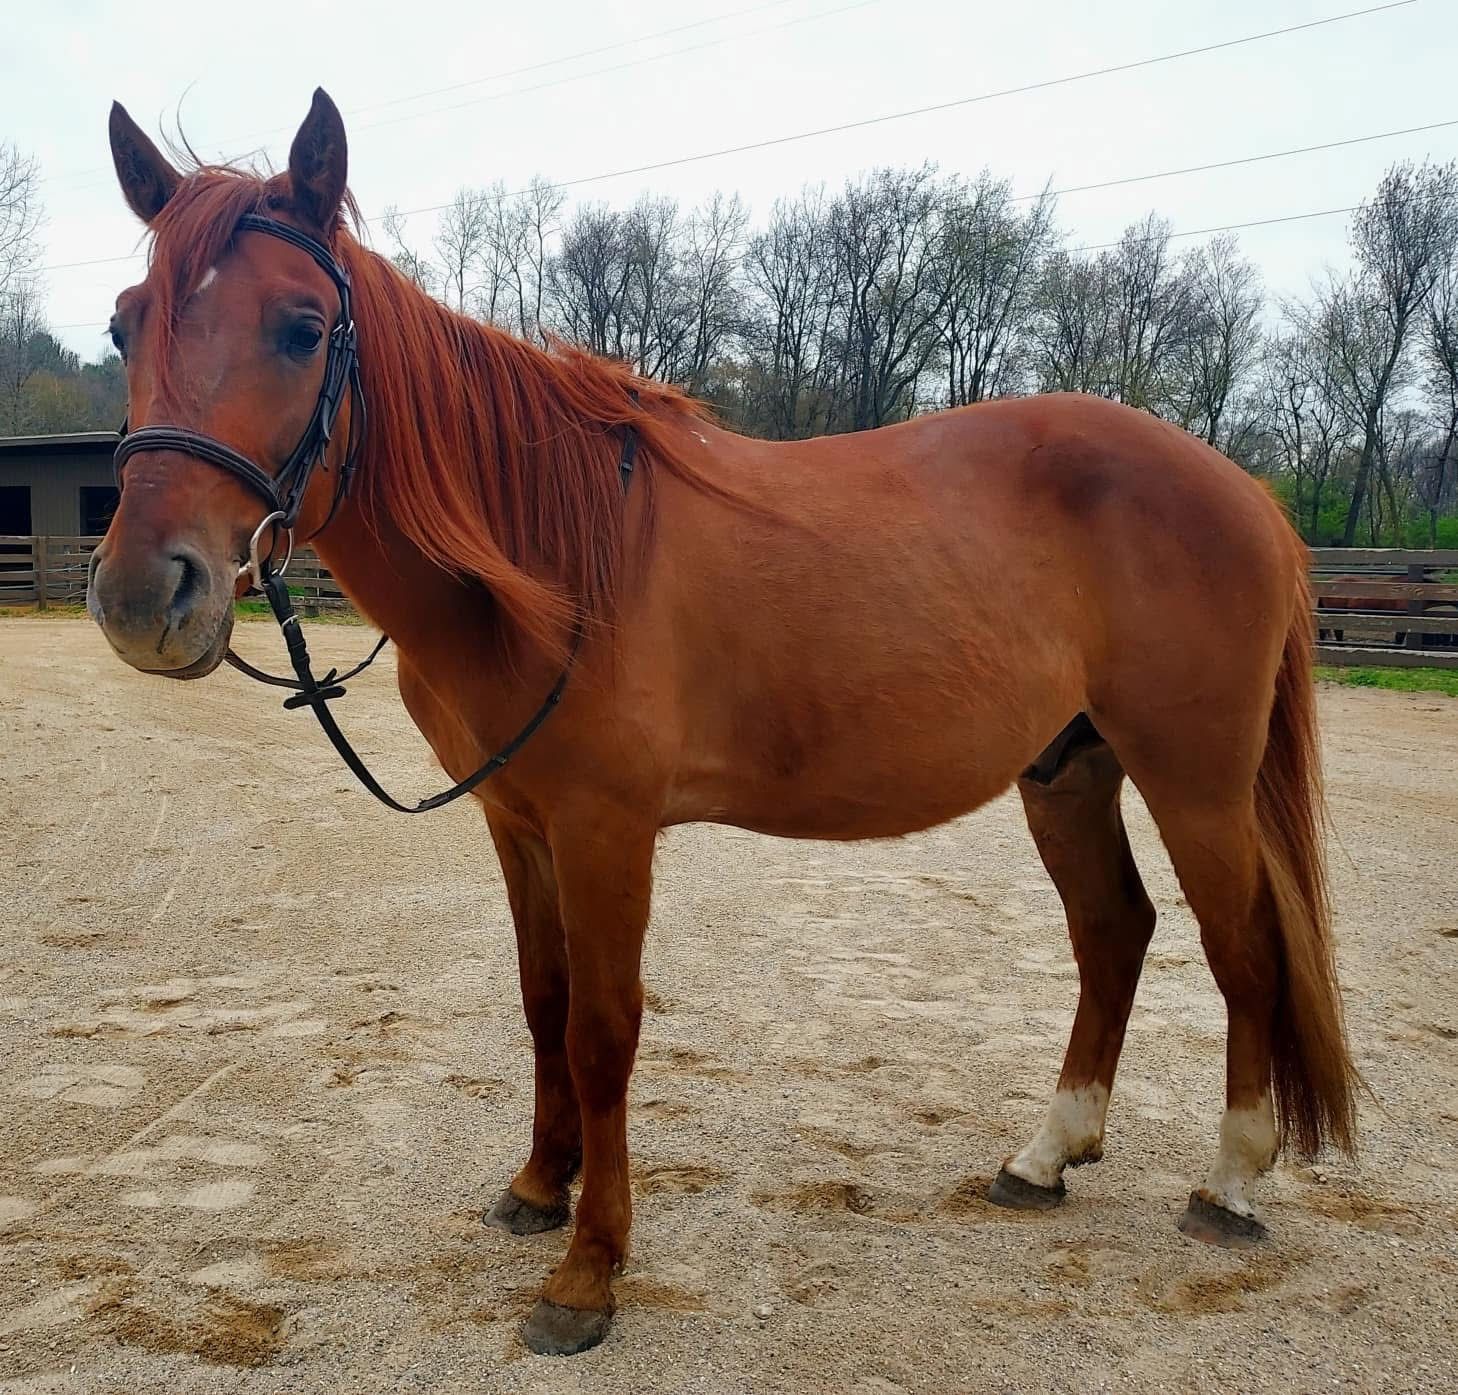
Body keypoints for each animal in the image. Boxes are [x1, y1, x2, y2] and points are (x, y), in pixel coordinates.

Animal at [88, 90, 1357, 1356]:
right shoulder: (519, 822)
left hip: (1194, 780)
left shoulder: (606, 830)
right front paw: (539, 1189)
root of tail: (1248, 494)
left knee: (1243, 949)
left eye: (303, 328)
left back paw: (1232, 1183)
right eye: (122, 327)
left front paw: (588, 1273)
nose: (147, 596)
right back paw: (1046, 1156)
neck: (553, 556)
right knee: (1114, 932)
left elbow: (603, 1030)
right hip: (1068, 770)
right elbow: (542, 1004)